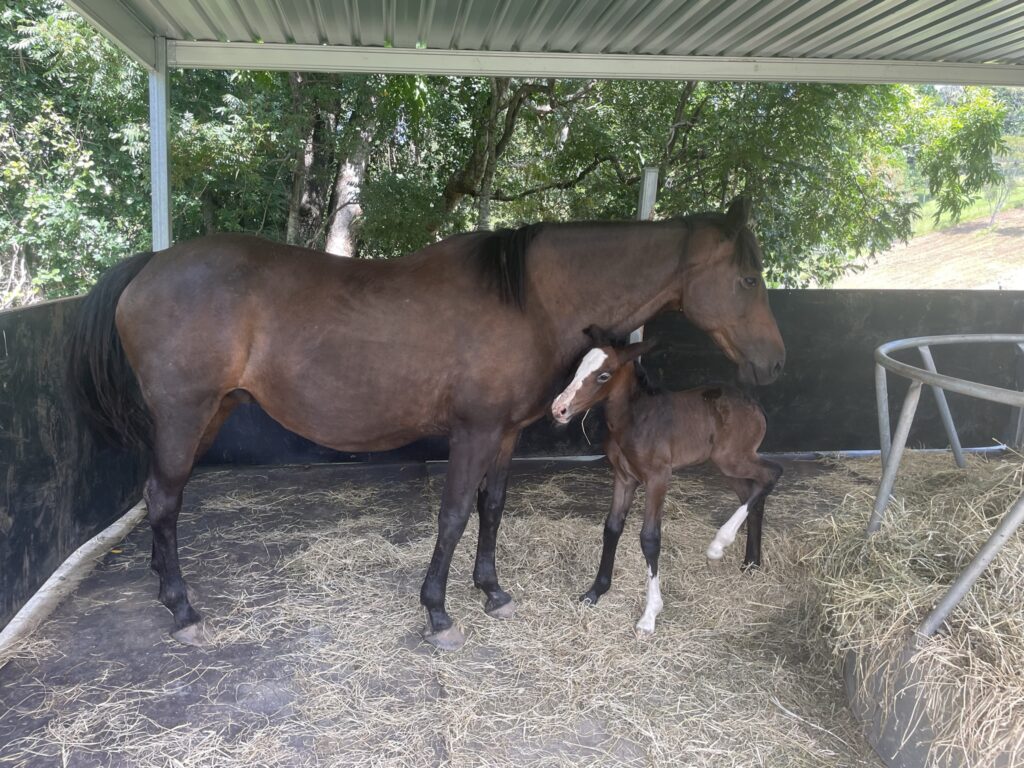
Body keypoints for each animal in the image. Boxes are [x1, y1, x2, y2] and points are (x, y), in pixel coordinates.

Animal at [557, 331, 778, 638]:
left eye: (603, 375)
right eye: (578, 367)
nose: (559, 409)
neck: (635, 420)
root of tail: (754, 405)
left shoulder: (658, 477)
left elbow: (650, 538)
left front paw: (650, 614)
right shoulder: (623, 477)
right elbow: (612, 528)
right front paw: (595, 591)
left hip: (734, 459)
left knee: (771, 474)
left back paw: (719, 545)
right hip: (727, 465)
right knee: (753, 492)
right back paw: (751, 563)